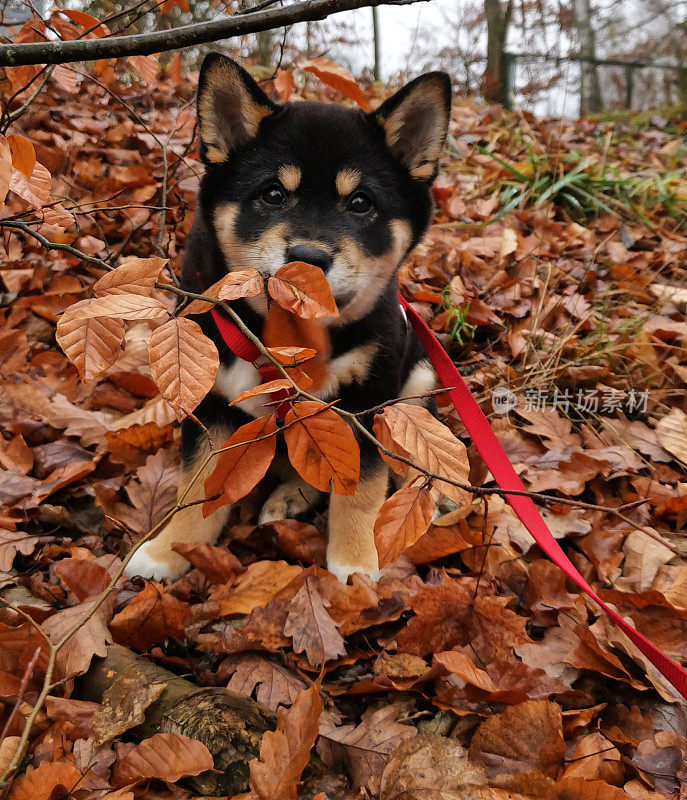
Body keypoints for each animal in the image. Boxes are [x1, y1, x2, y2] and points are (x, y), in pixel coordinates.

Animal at [127, 54, 454, 580]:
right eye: (273, 194)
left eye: (360, 202)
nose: (307, 257)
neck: (288, 341)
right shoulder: (211, 402)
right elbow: (198, 489)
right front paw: (168, 552)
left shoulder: (367, 404)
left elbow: (361, 491)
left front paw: (355, 565)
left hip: (419, 383)